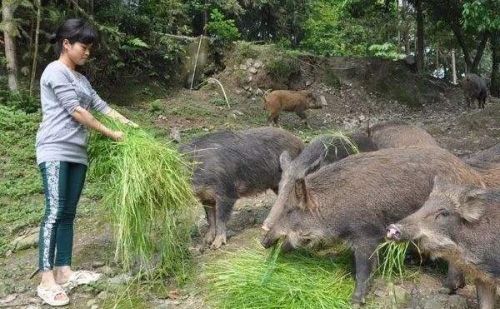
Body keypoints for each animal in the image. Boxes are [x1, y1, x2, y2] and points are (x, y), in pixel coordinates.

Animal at [260, 147, 482, 304]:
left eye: (290, 210)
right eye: (279, 197)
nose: (263, 240)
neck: (333, 208)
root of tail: (471, 174)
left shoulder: (367, 234)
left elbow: (364, 268)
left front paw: (355, 301)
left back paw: (445, 289)